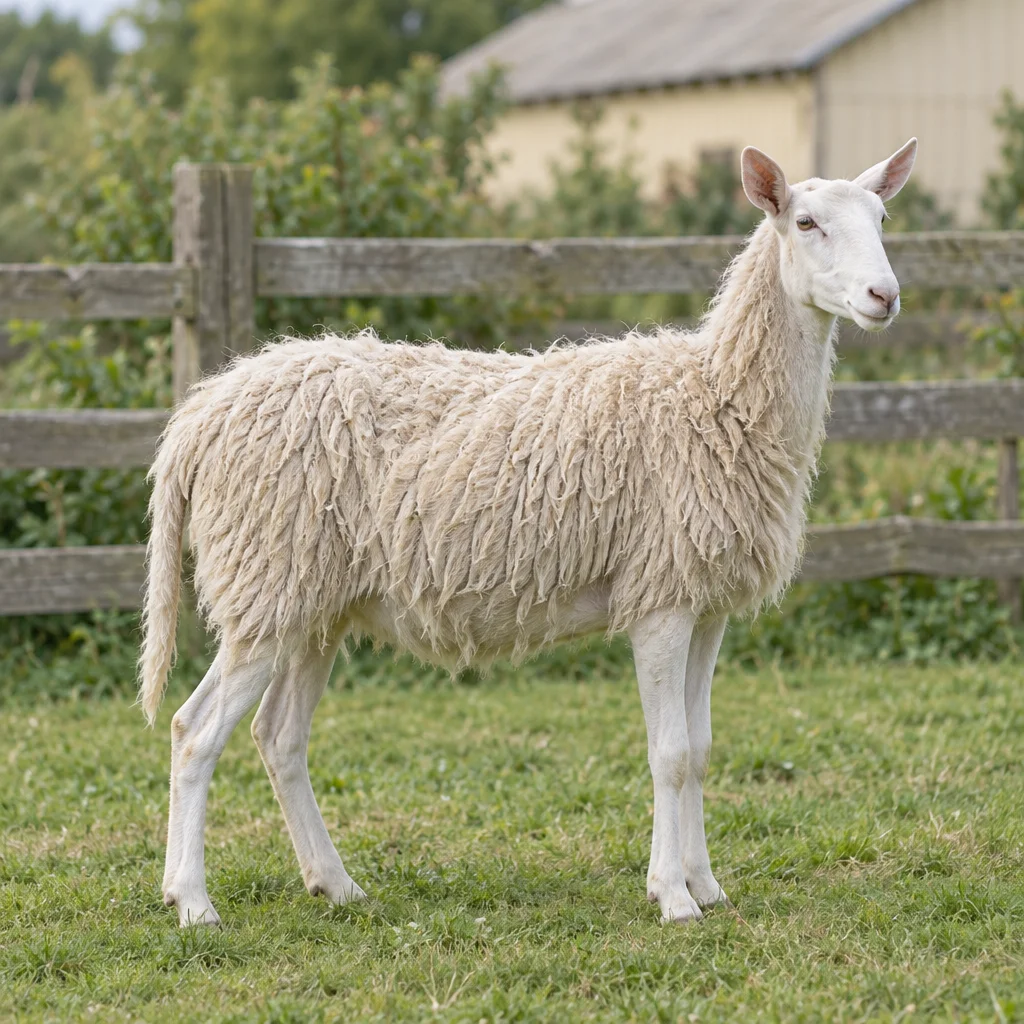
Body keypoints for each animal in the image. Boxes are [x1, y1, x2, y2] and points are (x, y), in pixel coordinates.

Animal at [140, 139, 918, 926]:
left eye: (882, 217)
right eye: (806, 221)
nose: (884, 297)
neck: (717, 396)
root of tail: (198, 416)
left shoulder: (705, 601)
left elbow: (698, 749)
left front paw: (706, 885)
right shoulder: (659, 597)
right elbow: (667, 753)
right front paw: (672, 897)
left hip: (312, 601)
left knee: (279, 737)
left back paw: (334, 884)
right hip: (265, 578)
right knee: (194, 732)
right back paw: (194, 902)